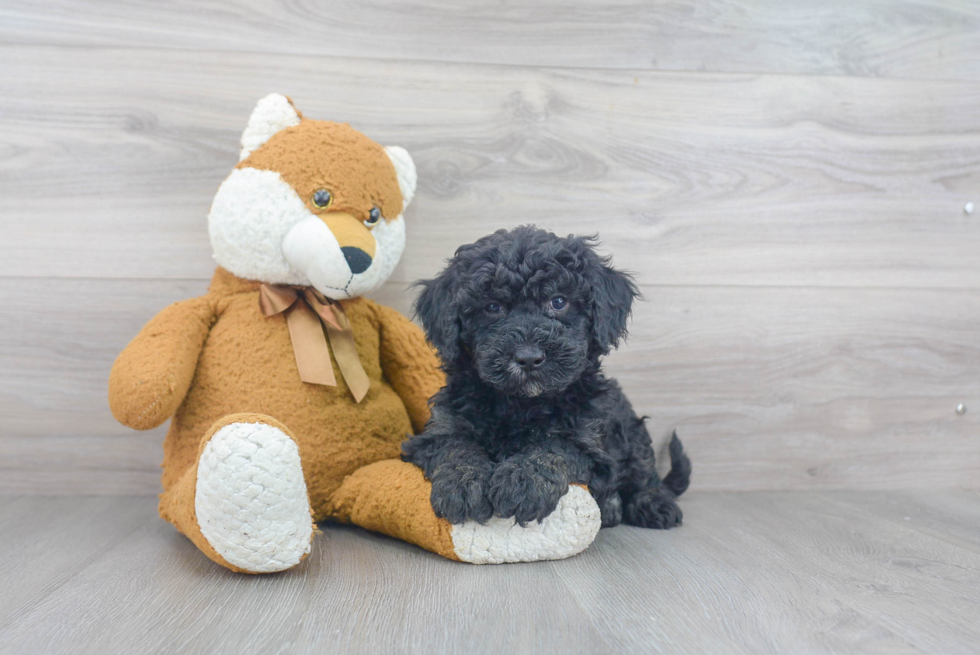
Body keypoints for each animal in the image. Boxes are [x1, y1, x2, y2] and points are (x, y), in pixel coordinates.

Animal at [402, 228, 692, 532]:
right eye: (493, 307)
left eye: (559, 302)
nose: (529, 357)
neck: (521, 404)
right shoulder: (438, 430)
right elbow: (454, 445)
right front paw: (464, 482)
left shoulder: (589, 439)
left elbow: (554, 448)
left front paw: (523, 481)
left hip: (630, 429)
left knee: (644, 470)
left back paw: (653, 503)